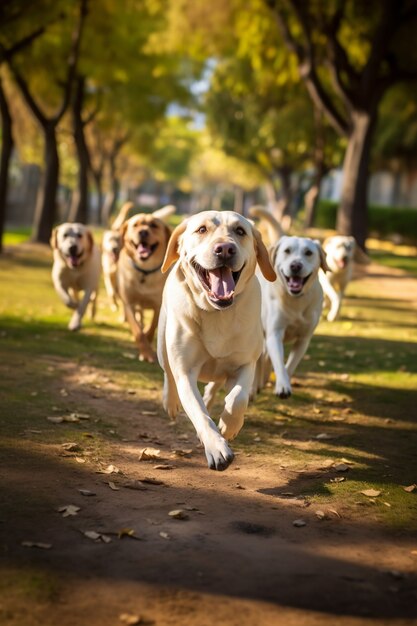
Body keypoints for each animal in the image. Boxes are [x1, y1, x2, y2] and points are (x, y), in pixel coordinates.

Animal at [117, 205, 176, 360]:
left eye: (154, 225)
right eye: (135, 225)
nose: (143, 232)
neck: (144, 271)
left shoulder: (159, 305)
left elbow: (152, 328)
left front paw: (149, 348)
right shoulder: (129, 303)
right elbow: (138, 331)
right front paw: (146, 352)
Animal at [154, 210, 274, 468]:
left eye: (240, 231)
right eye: (201, 230)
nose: (225, 249)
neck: (217, 312)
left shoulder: (246, 362)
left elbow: (238, 398)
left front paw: (229, 426)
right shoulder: (185, 372)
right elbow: (199, 413)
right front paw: (217, 447)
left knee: (217, 384)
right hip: (162, 342)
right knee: (168, 372)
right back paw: (171, 401)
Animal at [249, 207, 326, 398]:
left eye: (308, 253)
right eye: (287, 251)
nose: (296, 266)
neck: (295, 301)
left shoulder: (304, 339)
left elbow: (289, 365)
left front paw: (284, 382)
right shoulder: (274, 333)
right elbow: (278, 361)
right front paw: (282, 385)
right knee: (260, 358)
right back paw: (253, 388)